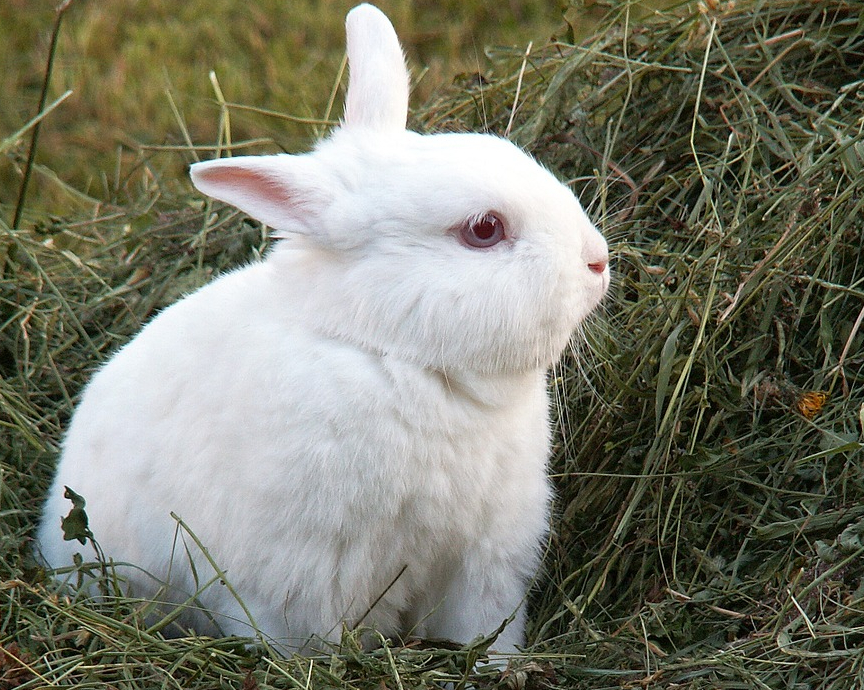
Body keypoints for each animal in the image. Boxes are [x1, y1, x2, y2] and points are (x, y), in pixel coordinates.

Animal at [36, 2, 610, 656]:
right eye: (484, 229)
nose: (598, 261)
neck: (401, 359)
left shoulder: (483, 562)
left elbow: (480, 629)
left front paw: (496, 666)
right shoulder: (303, 575)